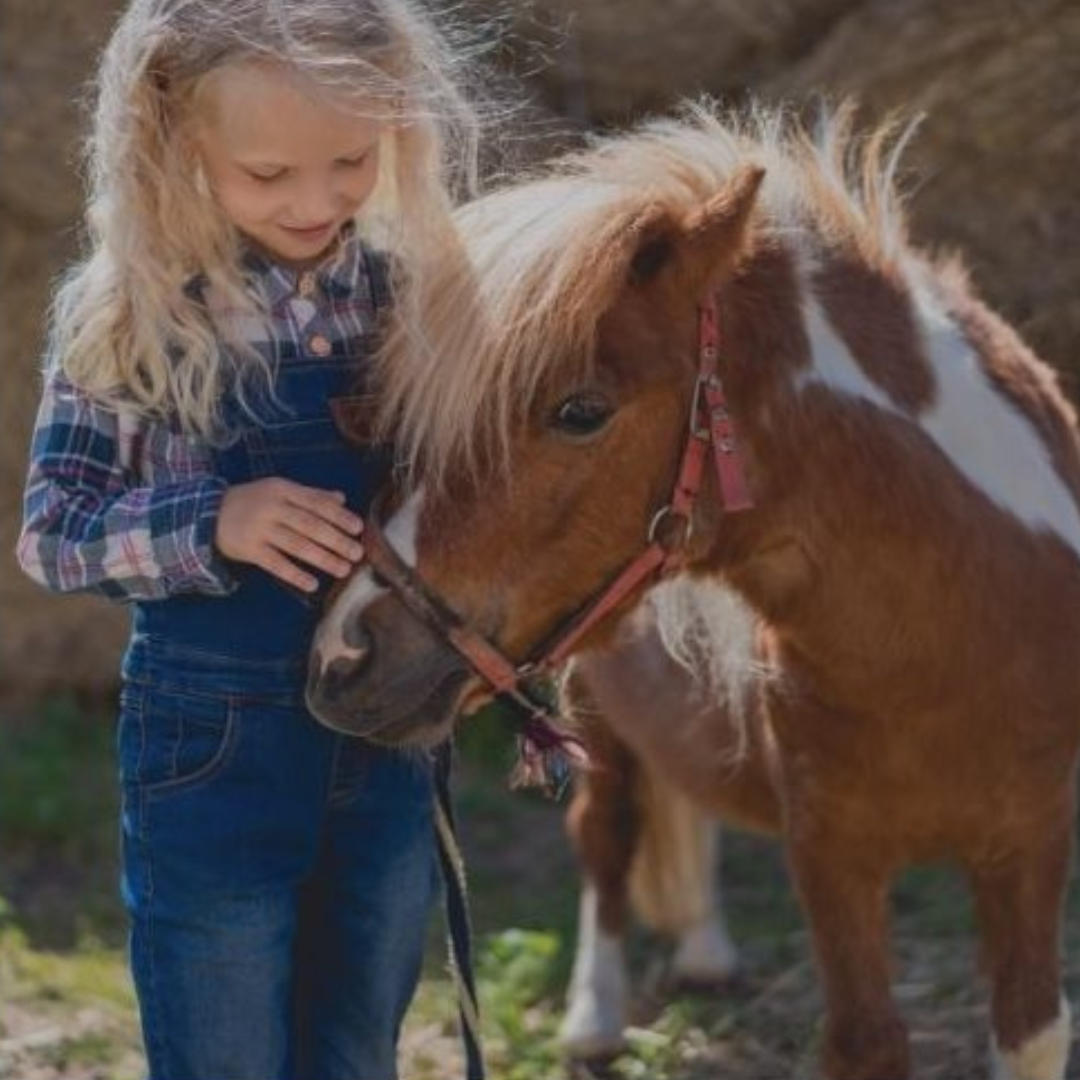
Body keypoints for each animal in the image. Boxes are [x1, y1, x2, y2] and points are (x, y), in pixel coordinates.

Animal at [306, 103, 1080, 1080]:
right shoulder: (832, 858)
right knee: (605, 842)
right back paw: (595, 1017)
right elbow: (868, 1039)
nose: (343, 655)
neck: (949, 641)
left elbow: (1030, 1025)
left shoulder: (1032, 844)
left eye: (580, 411)